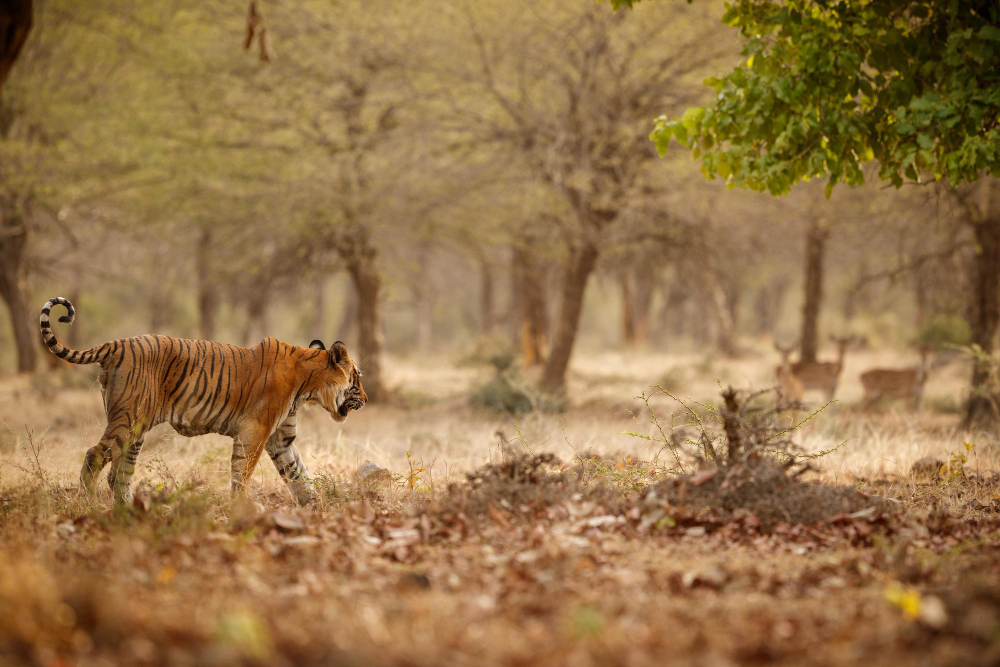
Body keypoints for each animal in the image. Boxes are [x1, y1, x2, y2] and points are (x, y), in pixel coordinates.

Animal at [39, 296, 367, 505]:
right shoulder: (255, 432)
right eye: (357, 377)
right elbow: (243, 474)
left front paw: (315, 508)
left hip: (135, 429)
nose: (366, 397)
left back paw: (130, 511)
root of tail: (114, 343)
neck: (308, 387)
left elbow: (299, 474)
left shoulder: (280, 439)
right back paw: (88, 504)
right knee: (94, 456)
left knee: (118, 475)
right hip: (127, 421)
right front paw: (240, 510)